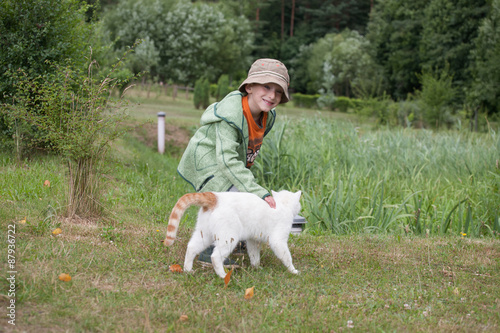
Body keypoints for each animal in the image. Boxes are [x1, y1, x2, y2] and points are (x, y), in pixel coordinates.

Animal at [163, 189, 300, 278]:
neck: (282, 204)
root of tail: (215, 197)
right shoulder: (278, 241)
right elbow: (287, 257)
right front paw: (293, 270)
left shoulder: (253, 240)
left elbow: (254, 256)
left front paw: (256, 267)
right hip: (228, 238)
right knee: (215, 256)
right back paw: (223, 275)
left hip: (204, 234)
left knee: (191, 247)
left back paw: (188, 270)